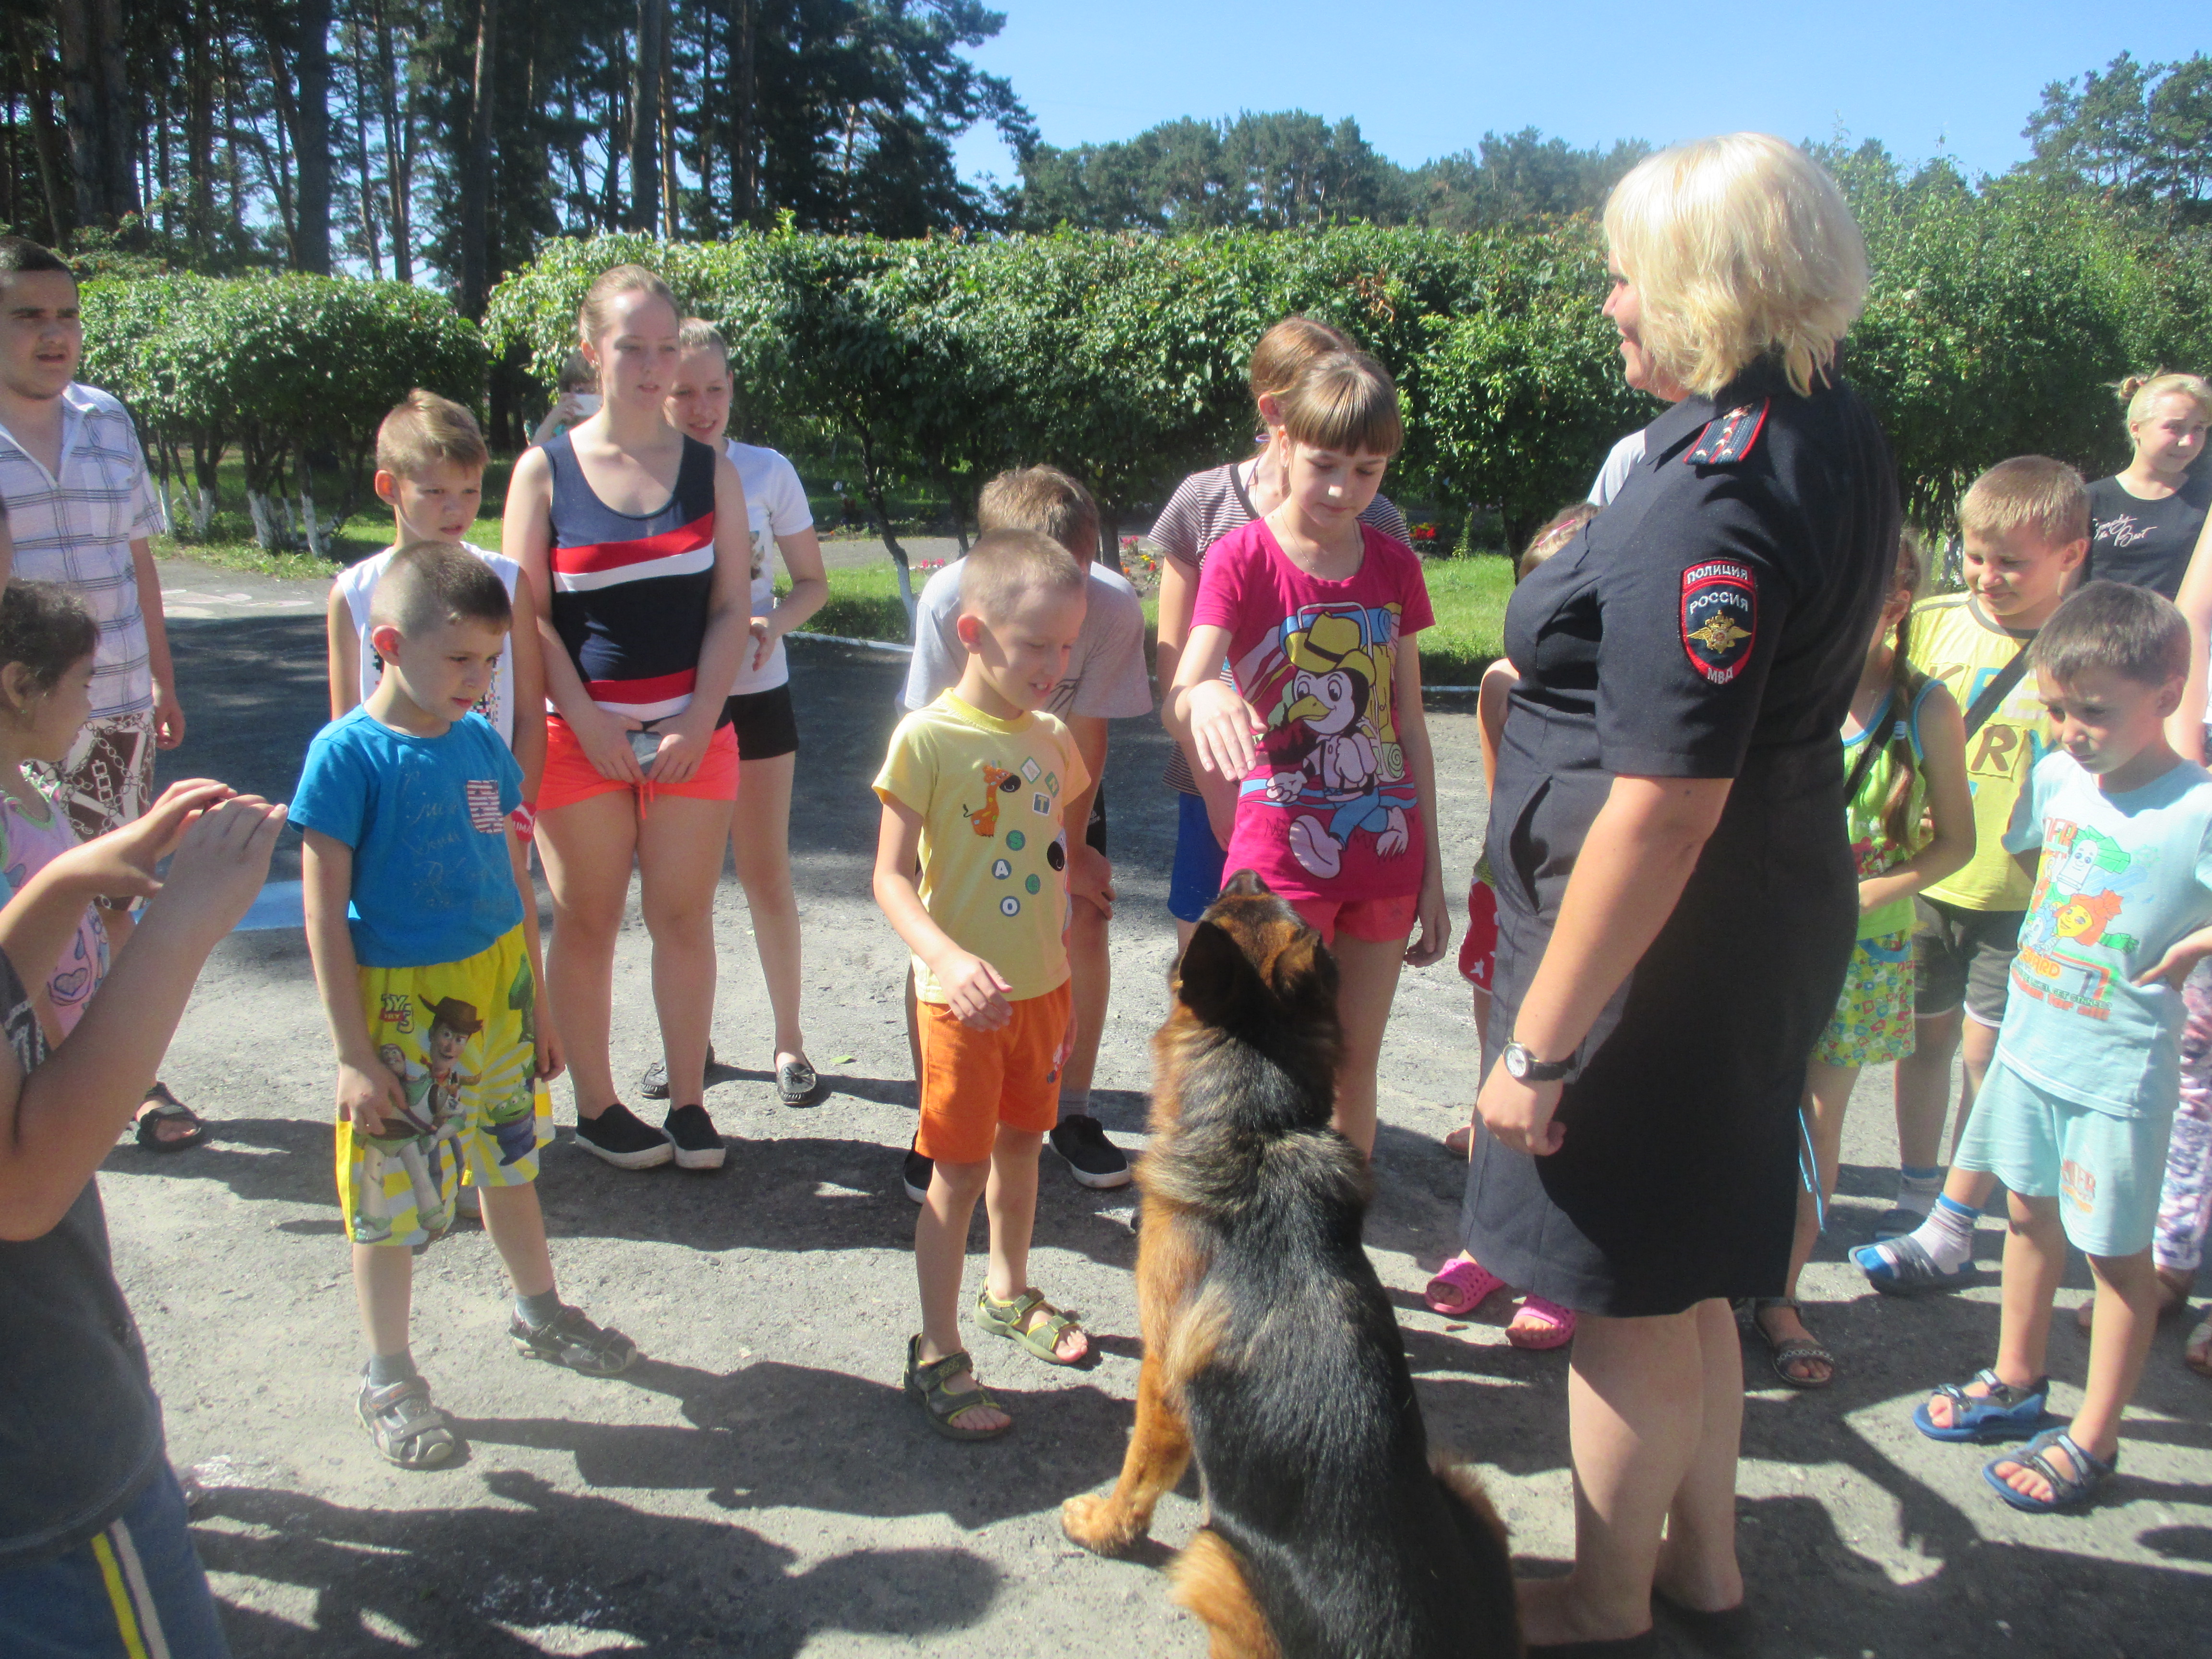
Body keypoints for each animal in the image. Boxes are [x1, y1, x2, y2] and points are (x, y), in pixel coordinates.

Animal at [1062, 871, 1522, 1658]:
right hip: (1464, 1489)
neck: (1259, 1126)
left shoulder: (1162, 1376)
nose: (1247, 872)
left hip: (1215, 1561)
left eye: (1226, 909)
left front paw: (1106, 1528)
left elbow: (1138, 1471)